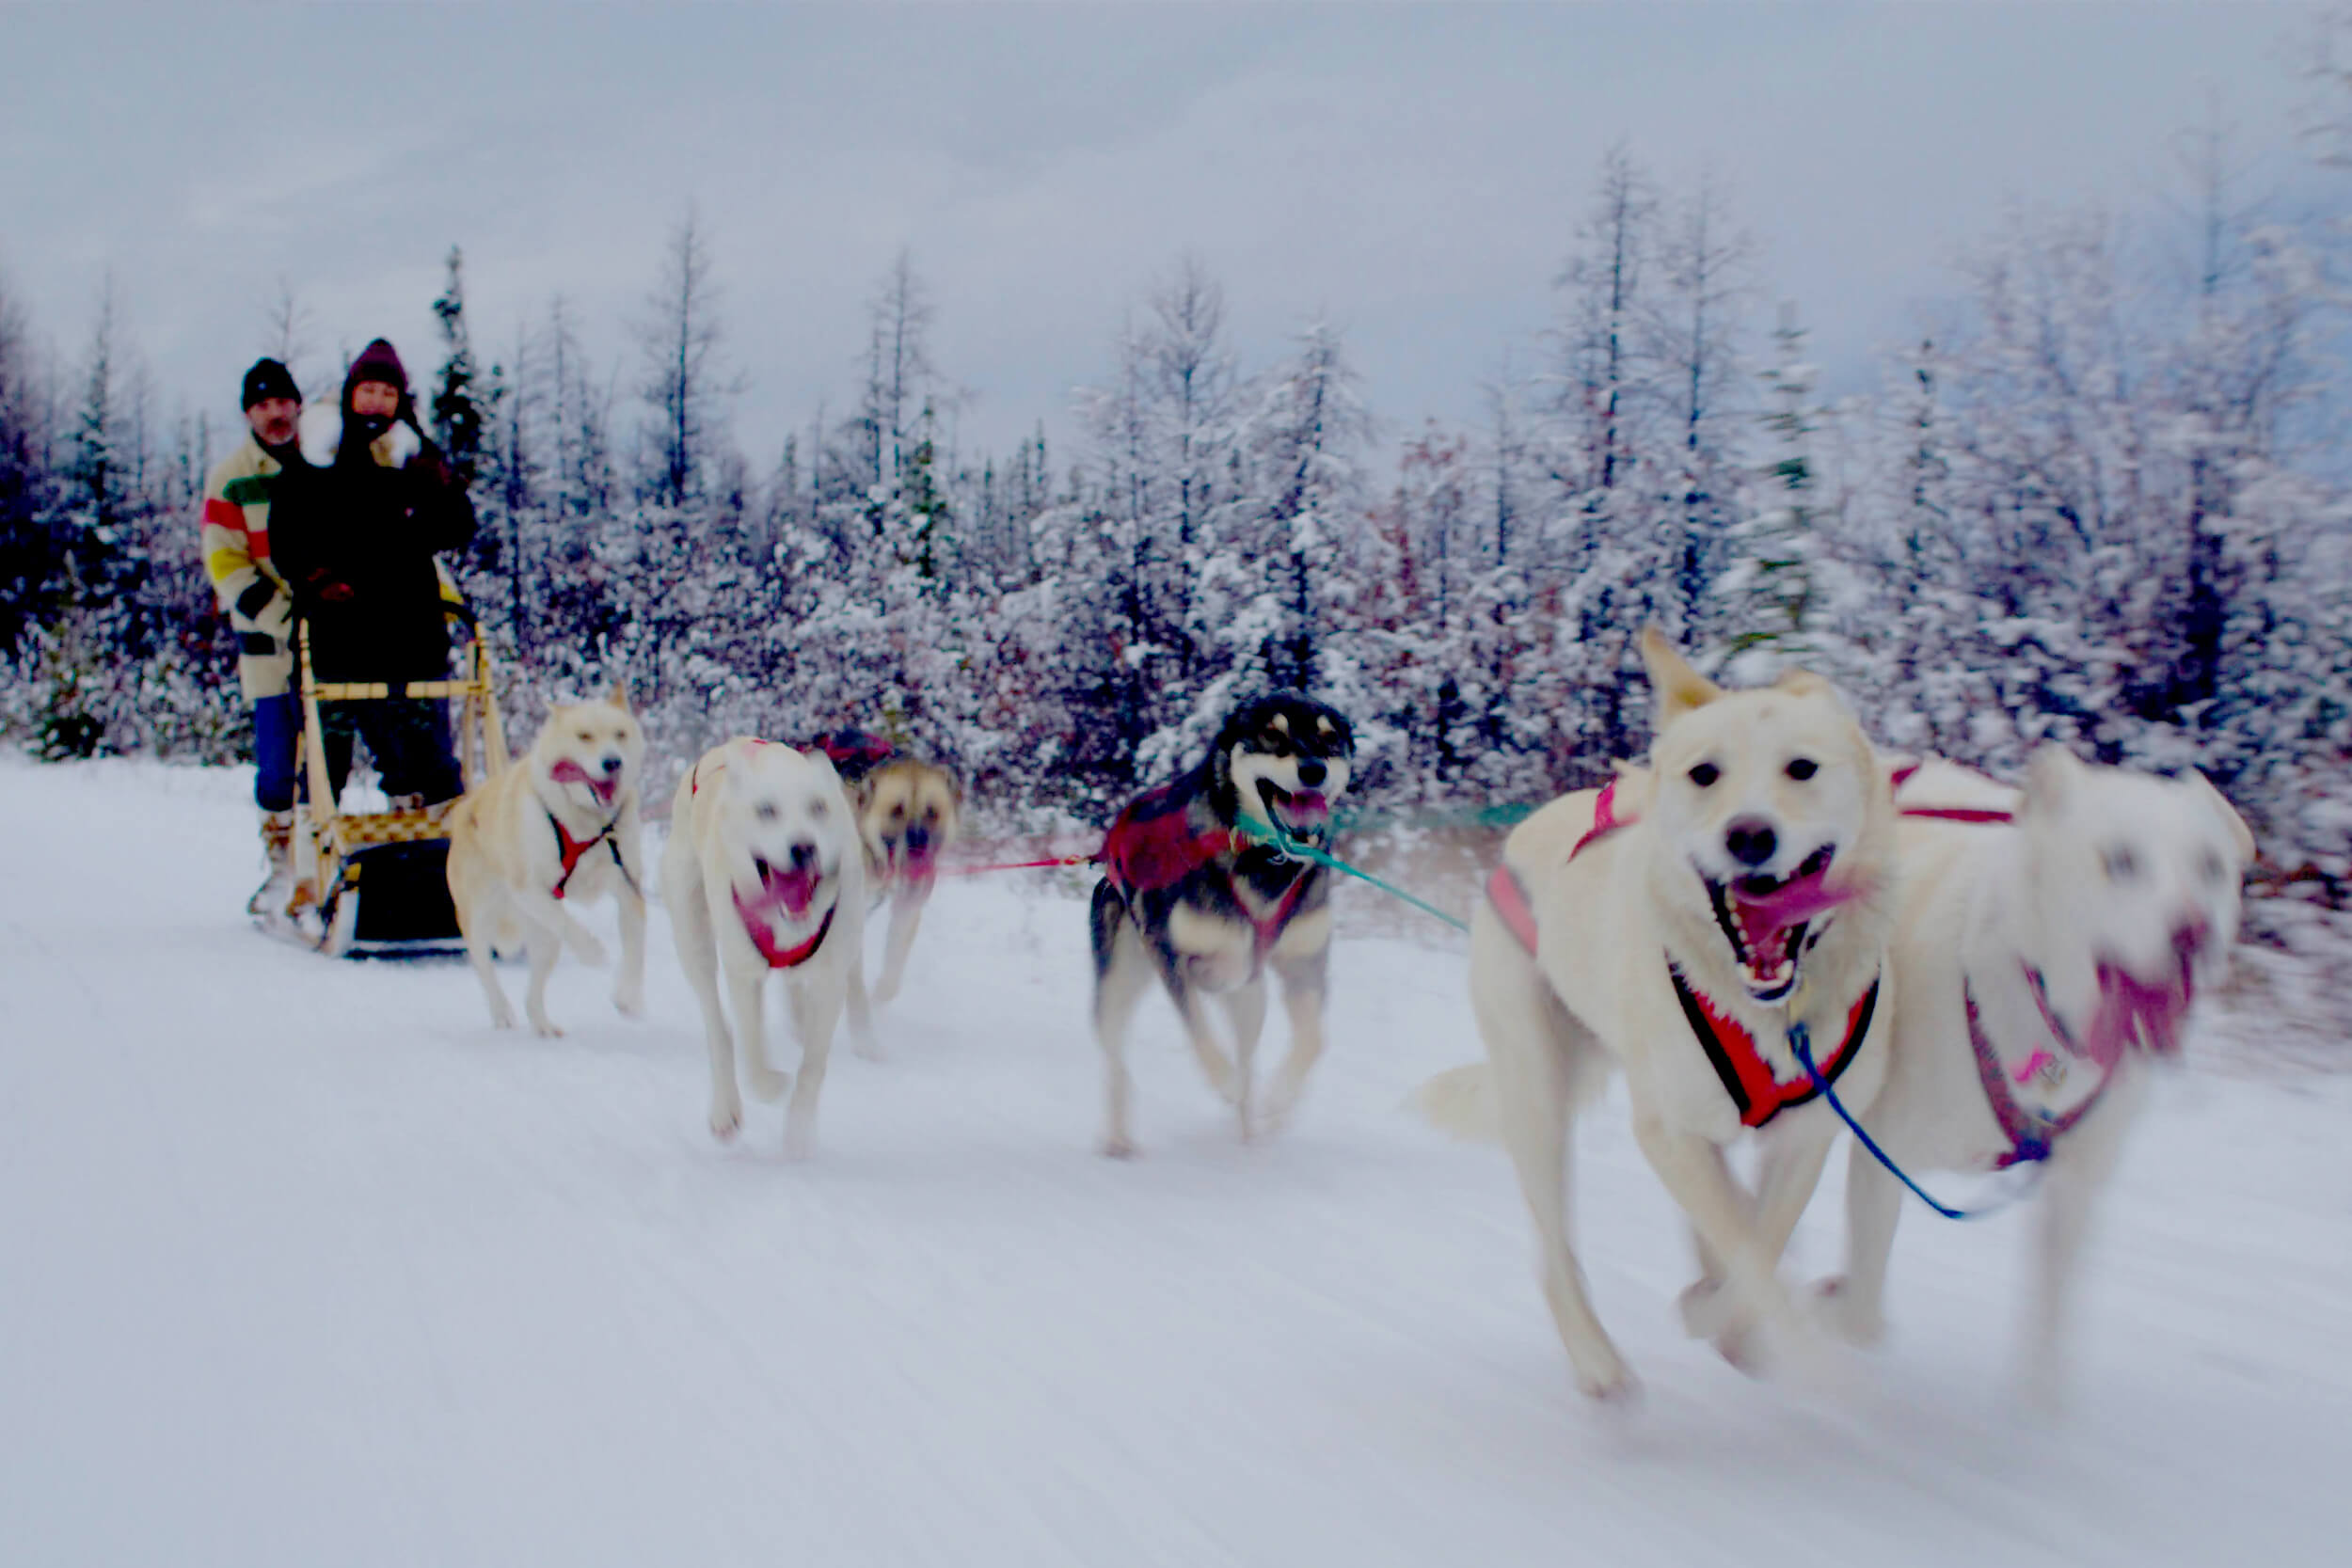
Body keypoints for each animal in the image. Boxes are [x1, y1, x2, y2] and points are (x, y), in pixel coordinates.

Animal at [444, 690, 649, 1034]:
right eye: (584, 736)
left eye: (620, 734)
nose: (613, 762)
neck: (583, 820)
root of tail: (463, 808)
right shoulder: (529, 888)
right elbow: (567, 922)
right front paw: (592, 951)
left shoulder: (627, 884)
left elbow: (636, 948)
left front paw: (629, 995)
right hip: (482, 918)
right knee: (483, 965)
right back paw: (501, 1011)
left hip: (543, 939)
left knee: (533, 989)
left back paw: (543, 1026)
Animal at [663, 742, 875, 1161]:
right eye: (766, 810)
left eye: (818, 807)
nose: (804, 847)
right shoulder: (744, 973)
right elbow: (752, 1050)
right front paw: (772, 1086)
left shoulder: (829, 980)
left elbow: (812, 1066)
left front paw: (798, 1134)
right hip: (693, 939)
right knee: (719, 1027)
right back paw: (725, 1110)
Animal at [1087, 690, 1355, 1161]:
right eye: (1272, 734)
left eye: (1329, 738)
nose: (1313, 770)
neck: (1264, 858)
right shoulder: (1171, 956)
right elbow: (1198, 1028)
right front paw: (1226, 1081)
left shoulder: (1303, 965)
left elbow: (1313, 1042)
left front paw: (1277, 1102)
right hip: (1119, 979)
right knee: (1116, 1058)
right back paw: (1120, 1137)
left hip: (1252, 997)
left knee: (1249, 1056)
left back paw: (1250, 1133)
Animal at [1411, 629, 1891, 1401]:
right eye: (1705, 773)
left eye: (1802, 767)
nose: (1748, 835)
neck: (1768, 1010)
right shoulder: (1668, 1129)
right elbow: (1749, 1256)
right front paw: (1753, 1326)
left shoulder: (1806, 1133)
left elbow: (1760, 1238)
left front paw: (1733, 1317)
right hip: (1538, 1092)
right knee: (1554, 1253)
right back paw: (1598, 1363)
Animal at [1806, 752, 2249, 1410]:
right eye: (2122, 860)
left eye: (2211, 867)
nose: (2194, 935)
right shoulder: (1881, 1158)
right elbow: (1860, 1311)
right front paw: (1835, 1311)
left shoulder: (2073, 1193)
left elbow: (2050, 1328)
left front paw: (2039, 1414)